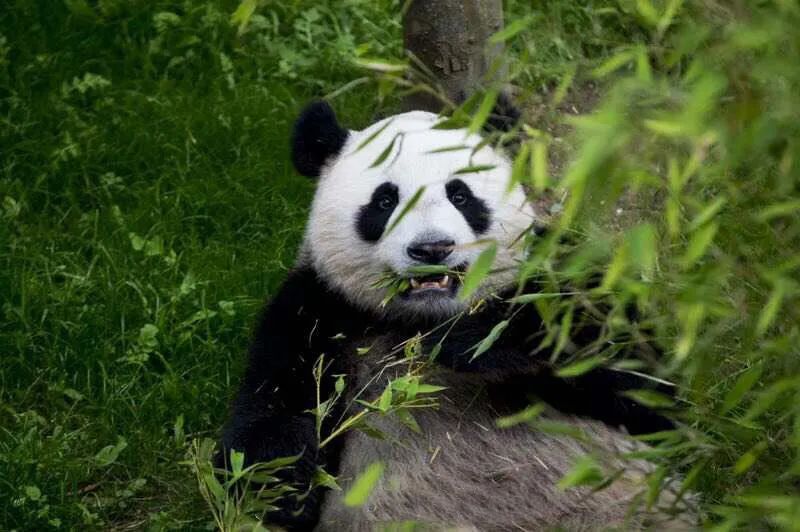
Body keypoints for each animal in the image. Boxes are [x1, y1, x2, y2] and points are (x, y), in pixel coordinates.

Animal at [218, 101, 691, 531]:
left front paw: (466, 341)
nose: (432, 248)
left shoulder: (557, 268)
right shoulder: (320, 311)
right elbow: (268, 425)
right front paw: (284, 494)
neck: (418, 320)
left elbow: (642, 375)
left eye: (460, 195)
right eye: (385, 200)